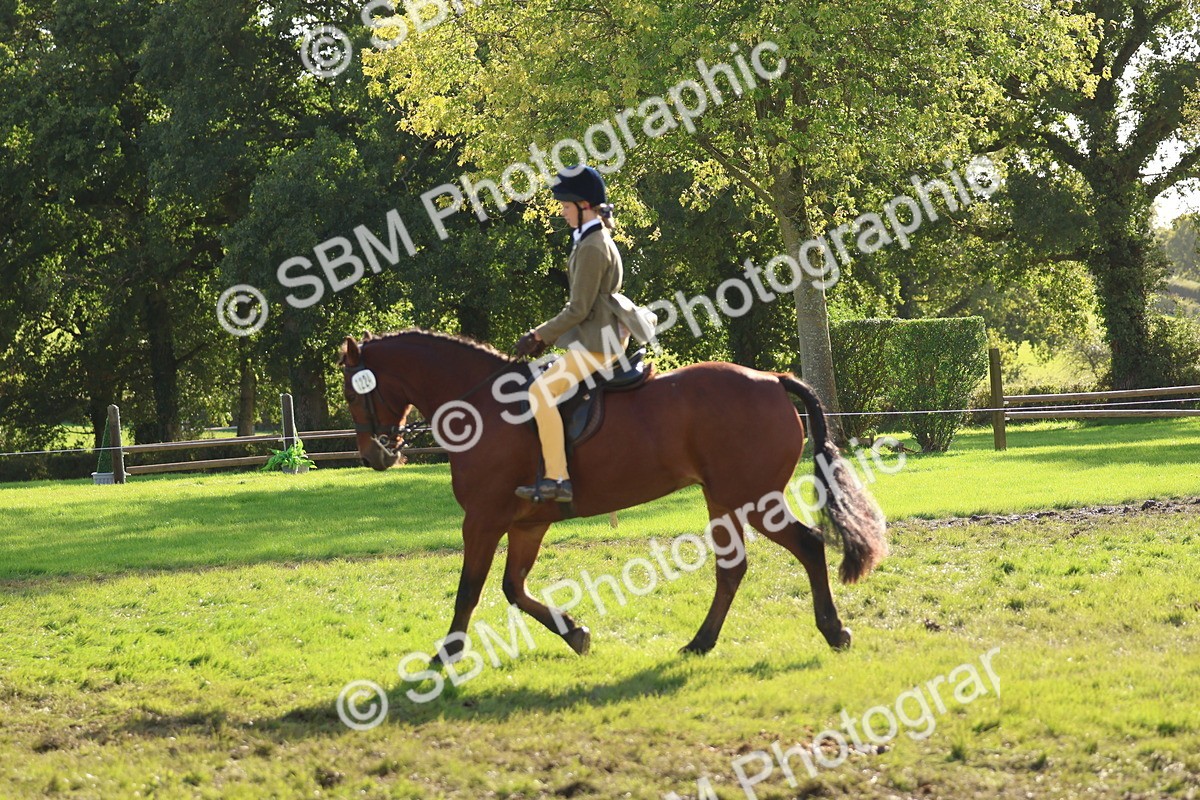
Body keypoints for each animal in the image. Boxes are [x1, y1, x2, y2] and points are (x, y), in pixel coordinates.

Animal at [338, 329, 887, 663]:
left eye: (352, 391)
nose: (372, 454)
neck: (482, 406)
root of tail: (772, 379)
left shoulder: (482, 519)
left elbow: (470, 589)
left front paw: (446, 654)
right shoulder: (526, 524)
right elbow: (513, 588)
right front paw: (575, 633)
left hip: (753, 500)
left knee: (807, 545)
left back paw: (831, 630)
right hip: (725, 500)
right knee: (734, 569)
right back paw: (702, 642)